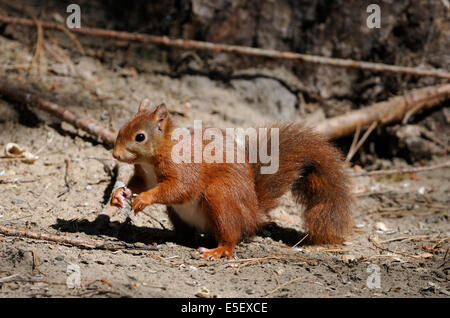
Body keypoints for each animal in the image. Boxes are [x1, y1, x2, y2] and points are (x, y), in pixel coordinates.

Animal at [110, 99, 354, 258]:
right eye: (121, 128)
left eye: (140, 137)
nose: (116, 155)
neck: (152, 159)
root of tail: (253, 214)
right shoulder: (144, 176)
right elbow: (137, 184)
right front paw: (119, 195)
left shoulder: (184, 168)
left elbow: (181, 188)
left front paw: (144, 199)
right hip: (178, 215)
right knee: (186, 236)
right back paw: (161, 238)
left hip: (221, 197)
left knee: (230, 236)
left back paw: (218, 251)